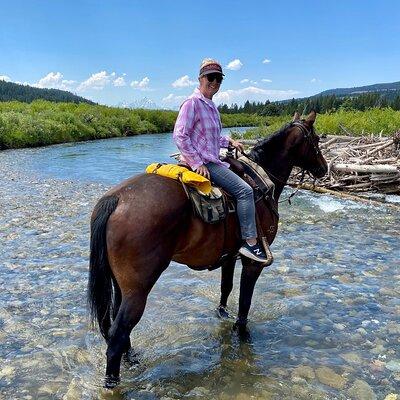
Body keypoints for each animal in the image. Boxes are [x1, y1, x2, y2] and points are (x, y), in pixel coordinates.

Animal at [87, 111, 328, 386]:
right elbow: (245, 302)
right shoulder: (253, 263)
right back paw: (112, 383)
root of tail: (116, 199)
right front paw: (242, 334)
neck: (261, 181)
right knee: (117, 334)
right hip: (138, 289)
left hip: (121, 285)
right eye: (316, 140)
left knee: (117, 324)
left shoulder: (230, 256)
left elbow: (227, 287)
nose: (324, 168)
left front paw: (222, 313)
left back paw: (132, 358)